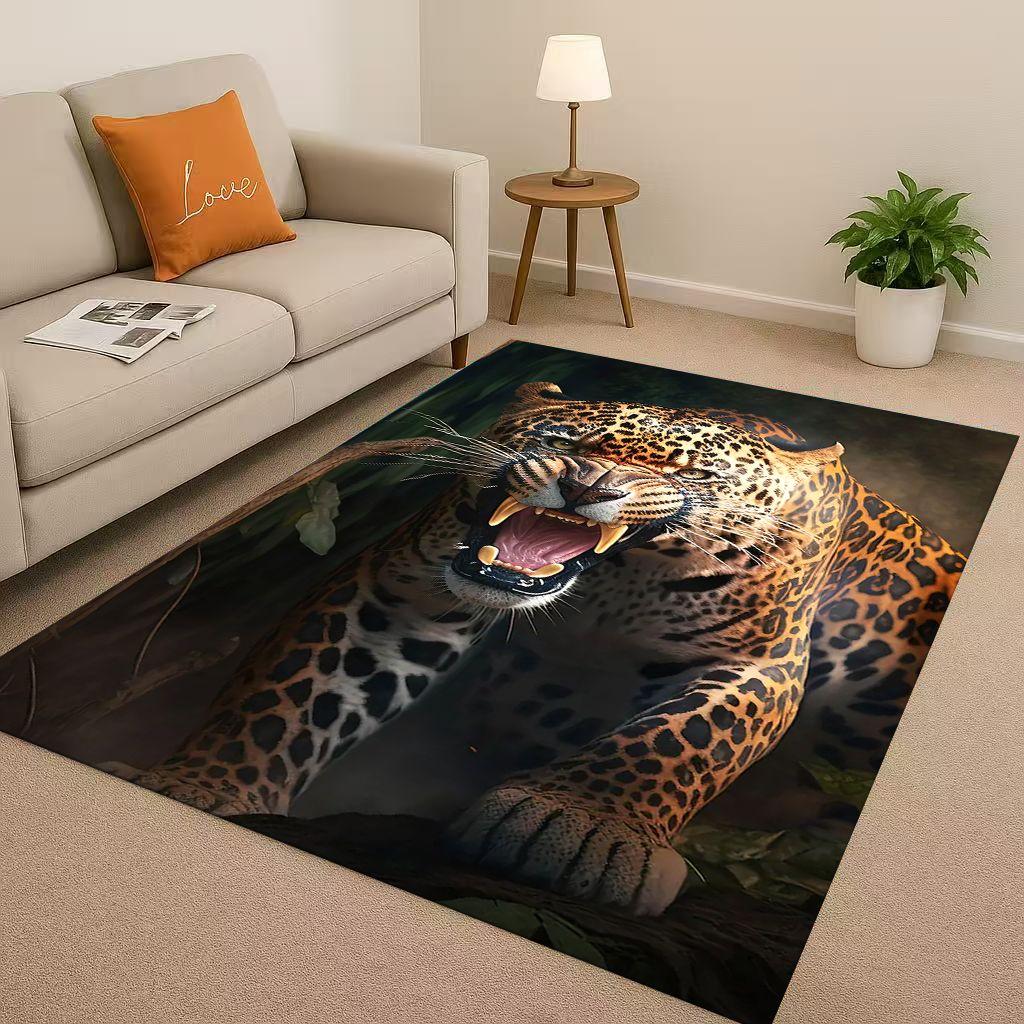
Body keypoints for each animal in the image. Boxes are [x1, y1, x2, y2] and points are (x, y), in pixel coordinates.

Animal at [105, 380, 963, 916]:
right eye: (559, 436)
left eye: (689, 470)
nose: (585, 485)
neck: (613, 582)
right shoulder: (401, 595)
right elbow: (287, 694)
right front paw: (201, 784)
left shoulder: (753, 660)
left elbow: (672, 743)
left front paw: (575, 829)